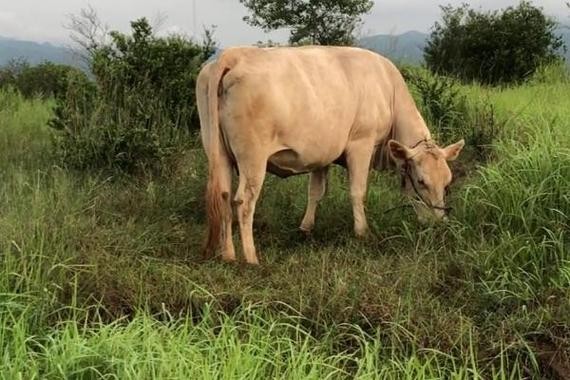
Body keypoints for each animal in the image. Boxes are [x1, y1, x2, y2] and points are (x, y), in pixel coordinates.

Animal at [195, 46, 462, 264]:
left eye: (447, 184)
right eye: (421, 181)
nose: (438, 223)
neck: (389, 91)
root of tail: (234, 54)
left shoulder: (321, 153)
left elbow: (315, 192)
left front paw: (305, 228)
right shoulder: (361, 144)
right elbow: (357, 191)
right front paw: (362, 232)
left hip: (218, 153)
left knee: (224, 196)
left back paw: (228, 255)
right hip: (253, 158)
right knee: (244, 202)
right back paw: (250, 259)